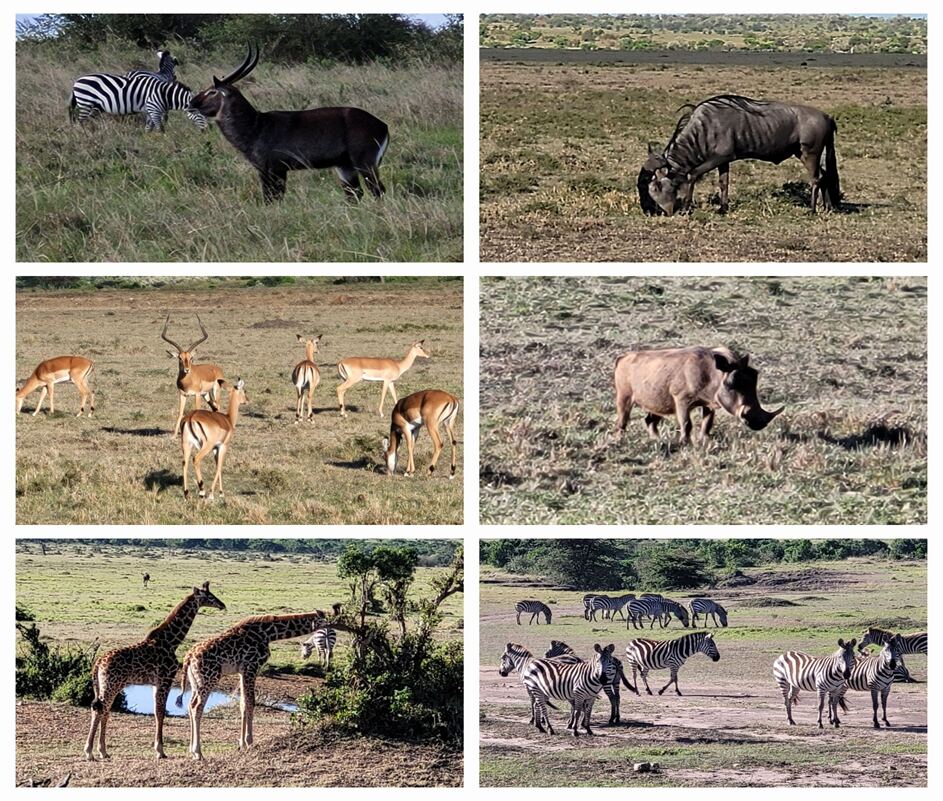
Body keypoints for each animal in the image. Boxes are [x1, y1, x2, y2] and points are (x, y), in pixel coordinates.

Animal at [69, 71, 207, 132]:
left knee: (86, 121)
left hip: (94, 107)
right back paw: (85, 135)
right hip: (85, 103)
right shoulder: (154, 109)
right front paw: (163, 141)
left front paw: (148, 140)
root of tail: (77, 81)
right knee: (81, 122)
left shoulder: (149, 111)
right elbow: (160, 128)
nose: (206, 130)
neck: (164, 95)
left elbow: (149, 127)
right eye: (199, 114)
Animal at [83, 581, 226, 761]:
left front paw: (158, 749)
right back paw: (89, 752)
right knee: (99, 709)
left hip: (107, 685)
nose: (222, 605)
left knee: (104, 710)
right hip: (111, 685)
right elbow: (160, 712)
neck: (172, 642)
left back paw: (103, 751)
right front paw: (160, 751)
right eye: (210, 597)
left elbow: (157, 711)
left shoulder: (155, 683)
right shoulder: (166, 679)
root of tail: (97, 663)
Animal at [176, 606, 346, 759]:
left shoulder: (243, 671)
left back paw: (192, 750)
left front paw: (242, 744)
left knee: (190, 705)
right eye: (335, 619)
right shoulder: (251, 667)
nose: (344, 628)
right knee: (197, 707)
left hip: (197, 682)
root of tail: (188, 657)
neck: (269, 633)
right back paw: (198, 752)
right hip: (209, 678)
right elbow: (250, 702)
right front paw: (250, 742)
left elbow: (243, 704)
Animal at [187, 44, 390, 203]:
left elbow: (271, 199)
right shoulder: (268, 171)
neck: (255, 126)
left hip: (365, 163)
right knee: (355, 194)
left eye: (212, 91)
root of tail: (383, 126)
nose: (191, 103)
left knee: (378, 191)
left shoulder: (274, 170)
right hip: (345, 167)